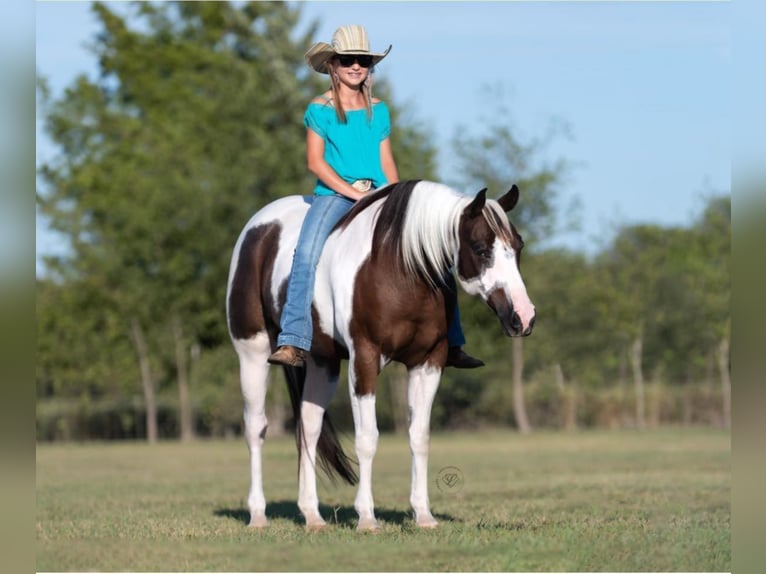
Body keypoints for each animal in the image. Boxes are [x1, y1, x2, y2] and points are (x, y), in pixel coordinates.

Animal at [225, 179, 536, 532]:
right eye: (482, 248)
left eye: (519, 247)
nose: (523, 317)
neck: (399, 268)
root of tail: (257, 227)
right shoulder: (365, 359)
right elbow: (367, 439)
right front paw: (367, 518)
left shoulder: (428, 362)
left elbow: (419, 437)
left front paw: (424, 515)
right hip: (252, 353)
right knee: (256, 428)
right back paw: (258, 515)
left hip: (322, 363)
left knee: (309, 427)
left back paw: (312, 516)